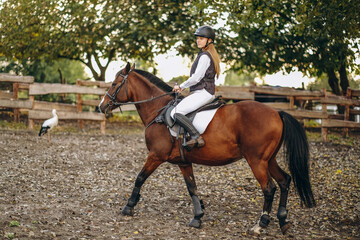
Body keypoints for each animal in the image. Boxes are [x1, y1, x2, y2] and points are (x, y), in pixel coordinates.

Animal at [98, 62, 316, 235]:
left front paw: (129, 206)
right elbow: (192, 188)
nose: (101, 106)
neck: (158, 111)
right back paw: (283, 221)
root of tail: (277, 112)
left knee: (269, 188)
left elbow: (140, 178)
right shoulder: (183, 162)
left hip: (257, 161)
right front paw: (197, 216)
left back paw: (260, 225)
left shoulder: (155, 156)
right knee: (284, 181)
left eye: (115, 84)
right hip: (269, 160)